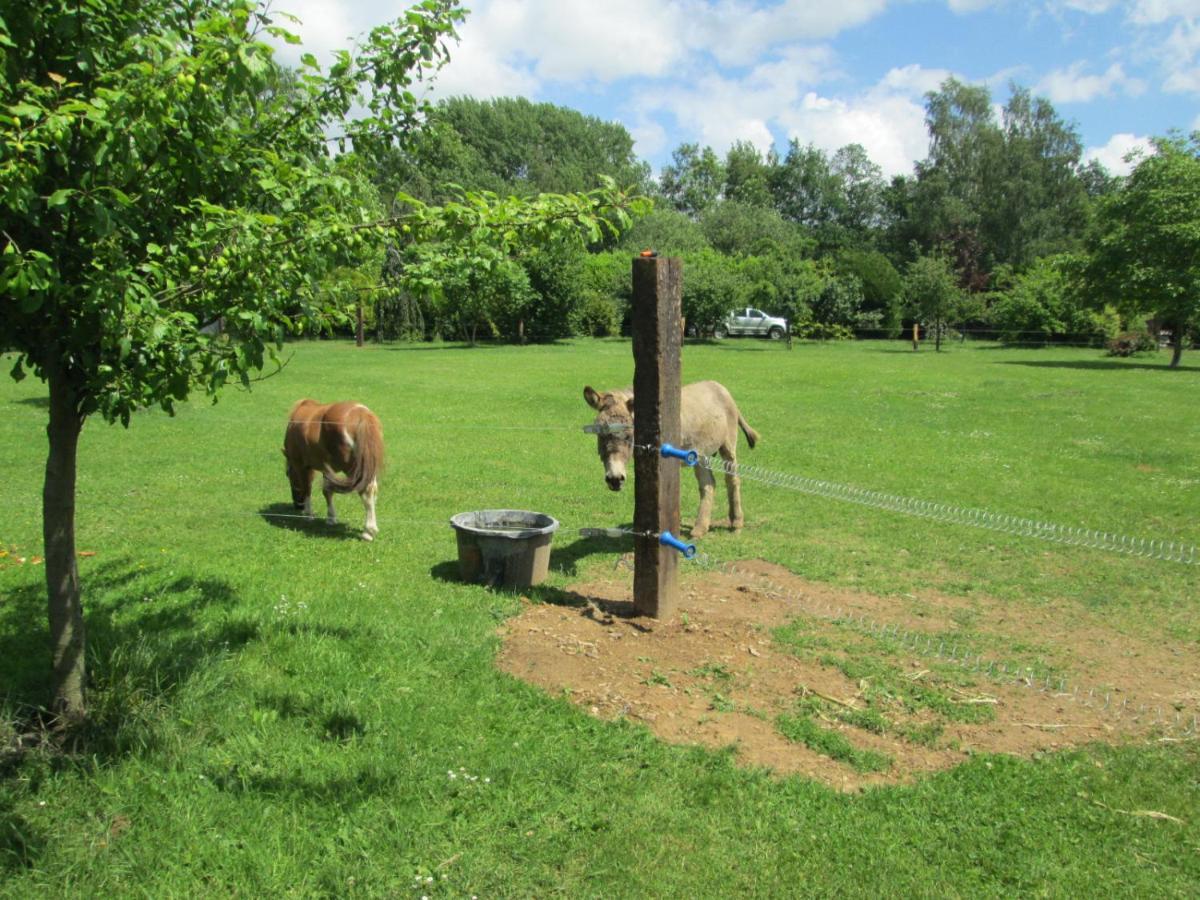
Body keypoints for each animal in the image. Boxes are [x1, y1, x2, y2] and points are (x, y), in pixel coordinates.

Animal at [282, 400, 384, 542]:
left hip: (353, 468)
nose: (298, 506)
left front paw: (308, 514)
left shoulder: (301, 466)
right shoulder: (327, 469)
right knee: (372, 490)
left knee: (366, 491)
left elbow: (307, 488)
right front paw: (331, 518)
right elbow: (327, 491)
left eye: (288, 475)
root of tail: (361, 413)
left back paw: (368, 531)